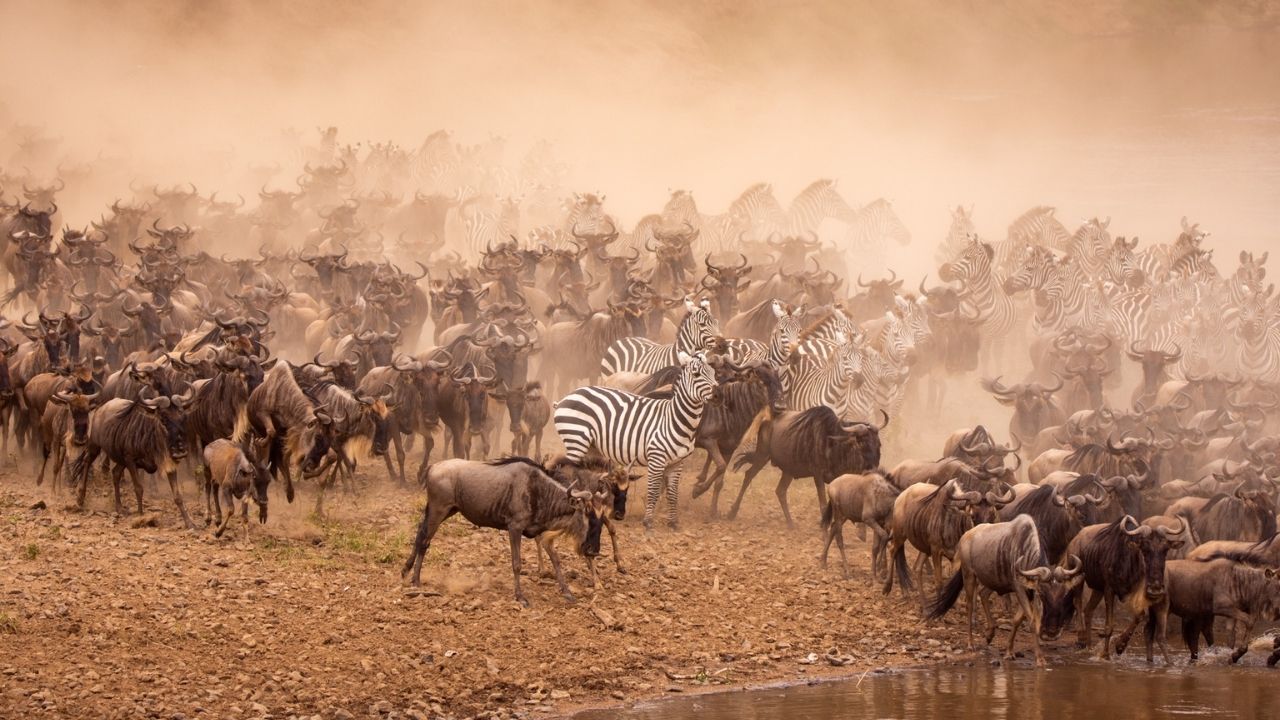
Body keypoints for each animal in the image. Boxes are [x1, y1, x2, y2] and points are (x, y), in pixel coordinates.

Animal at [554, 351, 718, 529]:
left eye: (713, 373)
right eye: (696, 374)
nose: (717, 393)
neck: (673, 419)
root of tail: (567, 396)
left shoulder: (677, 462)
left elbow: (673, 493)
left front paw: (673, 523)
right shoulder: (656, 458)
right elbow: (653, 491)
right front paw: (648, 522)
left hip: (591, 446)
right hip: (575, 440)